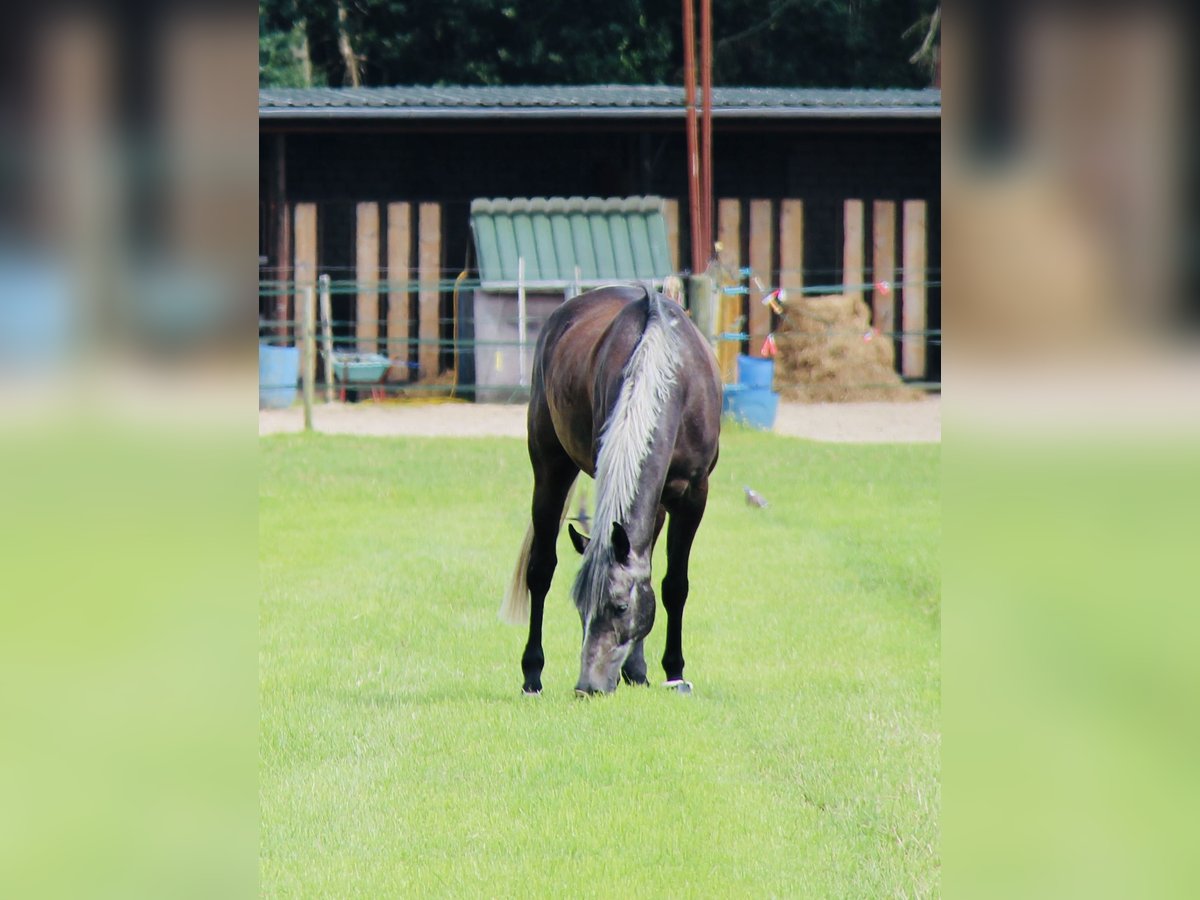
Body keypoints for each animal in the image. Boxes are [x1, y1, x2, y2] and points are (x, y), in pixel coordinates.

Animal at [499, 285, 715, 696]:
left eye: (620, 607)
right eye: (580, 609)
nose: (588, 687)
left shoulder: (694, 495)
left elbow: (674, 585)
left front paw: (674, 673)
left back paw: (637, 671)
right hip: (550, 468)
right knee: (541, 569)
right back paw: (532, 675)